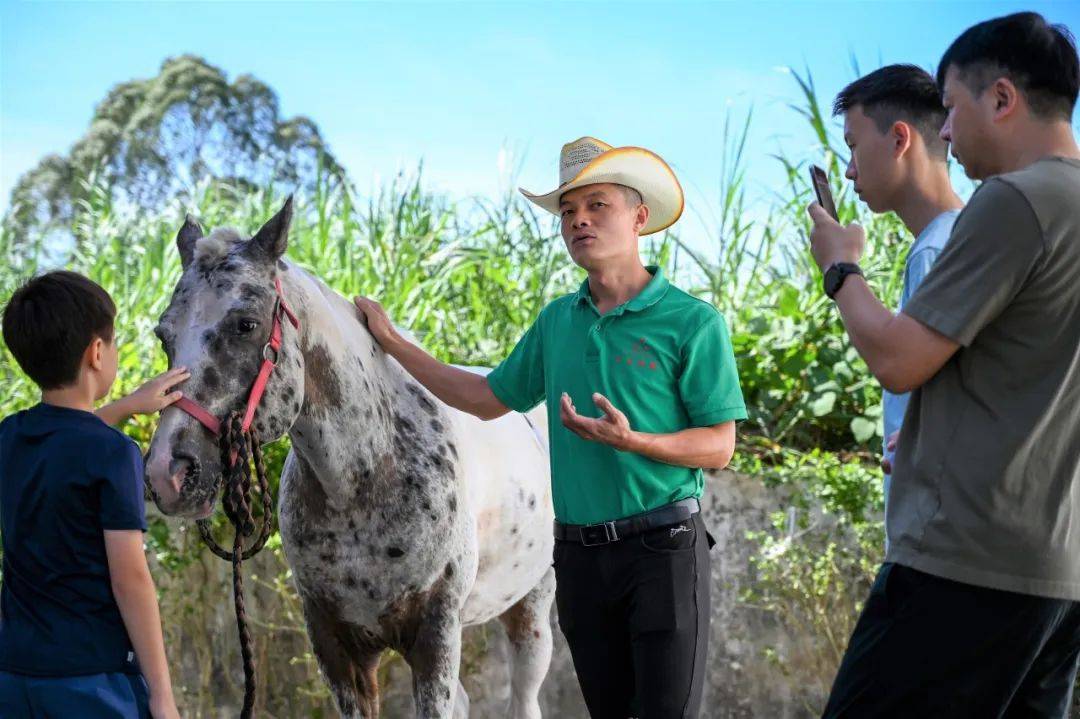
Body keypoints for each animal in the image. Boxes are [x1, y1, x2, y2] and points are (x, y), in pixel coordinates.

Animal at [145, 197, 557, 716]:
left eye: (246, 324)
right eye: (163, 334)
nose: (168, 473)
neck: (364, 479)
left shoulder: (435, 639)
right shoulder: (337, 648)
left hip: (531, 614)